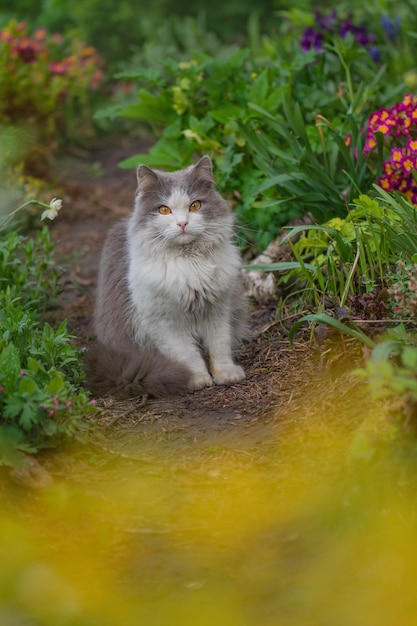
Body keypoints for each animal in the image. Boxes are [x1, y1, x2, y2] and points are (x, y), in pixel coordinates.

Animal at [86, 157, 245, 400]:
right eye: (164, 210)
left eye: (195, 205)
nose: (182, 224)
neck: (189, 262)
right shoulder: (164, 321)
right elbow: (187, 354)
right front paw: (196, 379)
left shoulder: (218, 309)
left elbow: (219, 346)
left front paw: (226, 374)